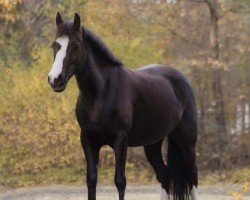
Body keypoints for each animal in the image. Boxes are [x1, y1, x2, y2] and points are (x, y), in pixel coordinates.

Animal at [47, 12, 198, 200]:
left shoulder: (120, 140)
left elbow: (120, 181)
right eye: (55, 45)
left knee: (193, 178)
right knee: (164, 176)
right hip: (153, 144)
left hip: (187, 142)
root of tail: (182, 79)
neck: (100, 93)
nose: (55, 79)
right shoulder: (88, 140)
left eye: (75, 45)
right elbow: (91, 180)